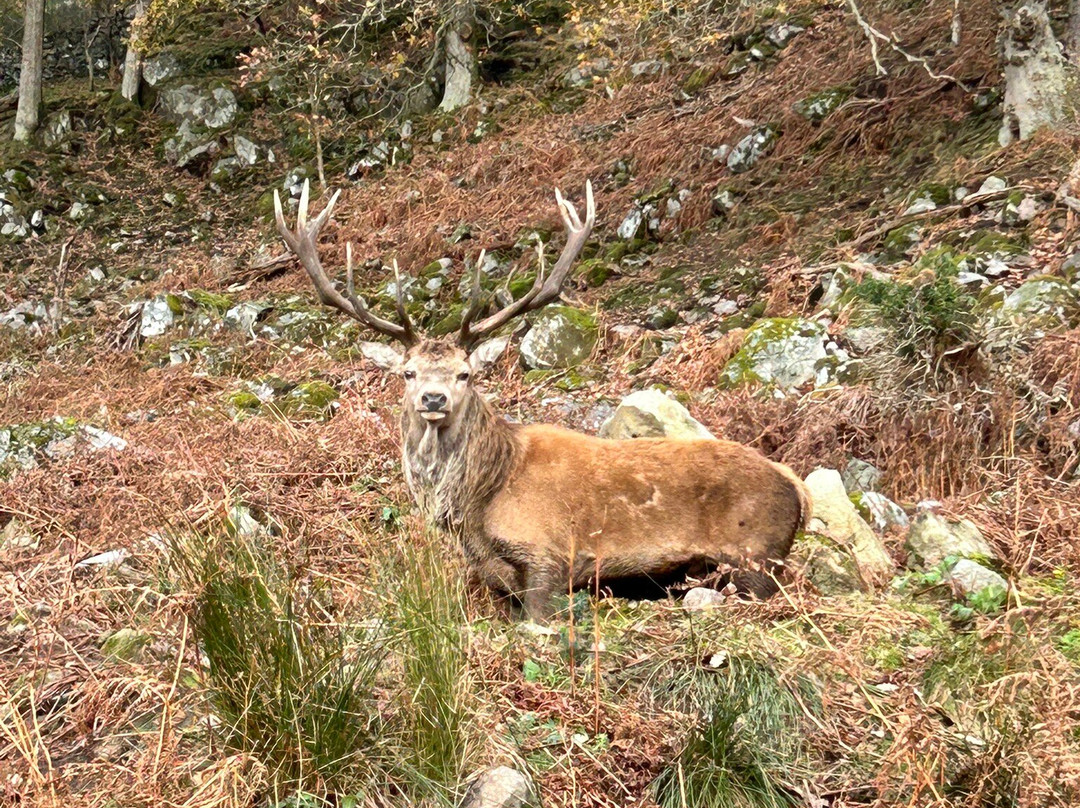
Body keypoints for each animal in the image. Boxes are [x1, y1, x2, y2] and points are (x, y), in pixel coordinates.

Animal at [273, 180, 811, 621]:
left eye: (466, 373)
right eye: (408, 372)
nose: (433, 397)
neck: (477, 504)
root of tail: (795, 488)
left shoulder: (551, 552)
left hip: (754, 554)